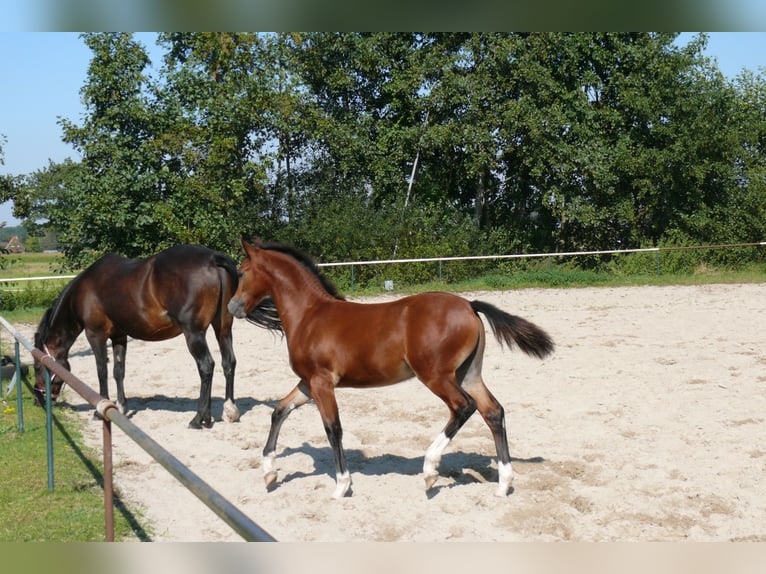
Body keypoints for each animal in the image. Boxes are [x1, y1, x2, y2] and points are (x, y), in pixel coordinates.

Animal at [35, 243, 282, 428]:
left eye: (38, 367)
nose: (38, 400)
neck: (87, 290)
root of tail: (212, 258)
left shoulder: (95, 335)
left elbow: (101, 371)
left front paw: (99, 410)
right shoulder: (119, 337)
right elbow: (118, 371)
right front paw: (122, 407)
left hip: (194, 333)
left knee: (206, 366)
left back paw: (199, 419)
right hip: (222, 328)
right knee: (228, 362)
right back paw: (229, 411)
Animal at [228, 238, 560, 500]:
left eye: (242, 271)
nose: (232, 307)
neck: (310, 314)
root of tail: (469, 305)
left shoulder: (322, 382)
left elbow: (333, 429)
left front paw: (342, 485)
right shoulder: (308, 383)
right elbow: (279, 411)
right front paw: (269, 472)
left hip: (436, 376)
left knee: (463, 407)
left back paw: (430, 470)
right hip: (468, 374)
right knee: (493, 411)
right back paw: (503, 483)